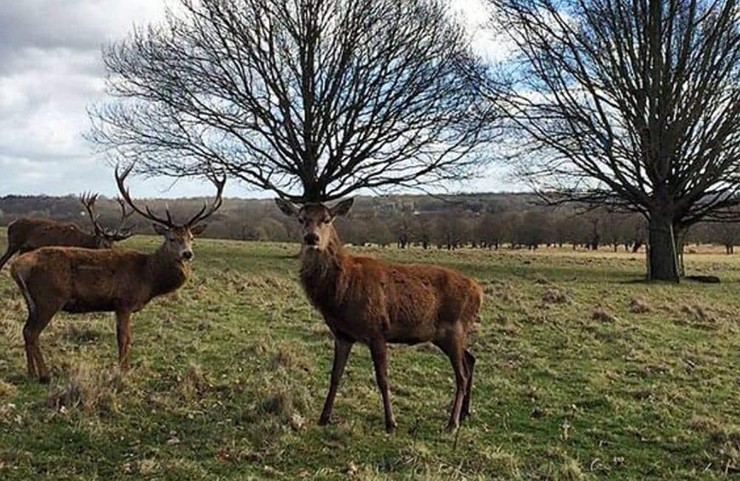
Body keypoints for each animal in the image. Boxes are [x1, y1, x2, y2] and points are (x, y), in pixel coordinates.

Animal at [0, 193, 134, 272]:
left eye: (113, 244)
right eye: (104, 244)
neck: (81, 242)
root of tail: (10, 224)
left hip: (26, 247)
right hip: (14, 242)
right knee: (3, 260)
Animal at [274, 197, 482, 434]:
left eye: (326, 219)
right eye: (301, 219)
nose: (311, 237)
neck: (342, 291)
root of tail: (479, 292)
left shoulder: (377, 330)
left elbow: (382, 378)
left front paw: (391, 423)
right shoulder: (342, 335)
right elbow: (335, 375)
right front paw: (324, 417)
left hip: (454, 328)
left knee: (461, 375)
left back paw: (452, 423)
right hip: (447, 335)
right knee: (470, 359)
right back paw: (465, 414)